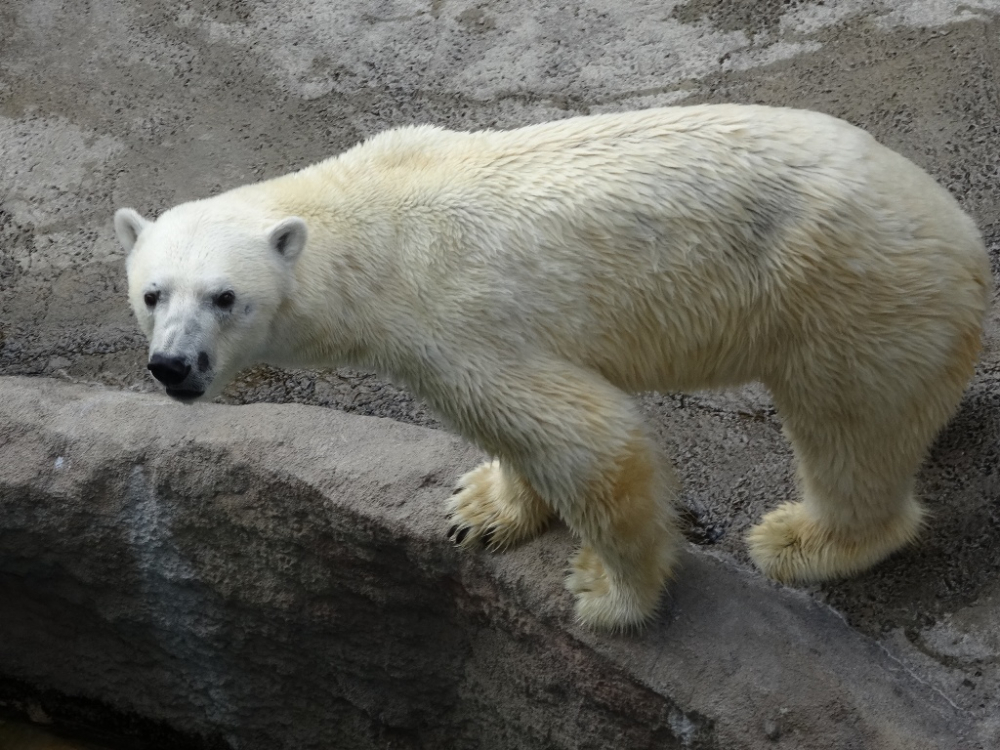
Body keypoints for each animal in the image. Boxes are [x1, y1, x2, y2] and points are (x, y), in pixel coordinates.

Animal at [113, 106, 988, 632]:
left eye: (226, 297)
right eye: (152, 292)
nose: (173, 367)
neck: (369, 224)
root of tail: (960, 229)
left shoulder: (447, 318)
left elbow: (588, 443)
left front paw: (606, 593)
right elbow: (519, 440)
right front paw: (481, 508)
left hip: (848, 300)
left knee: (852, 432)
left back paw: (804, 540)